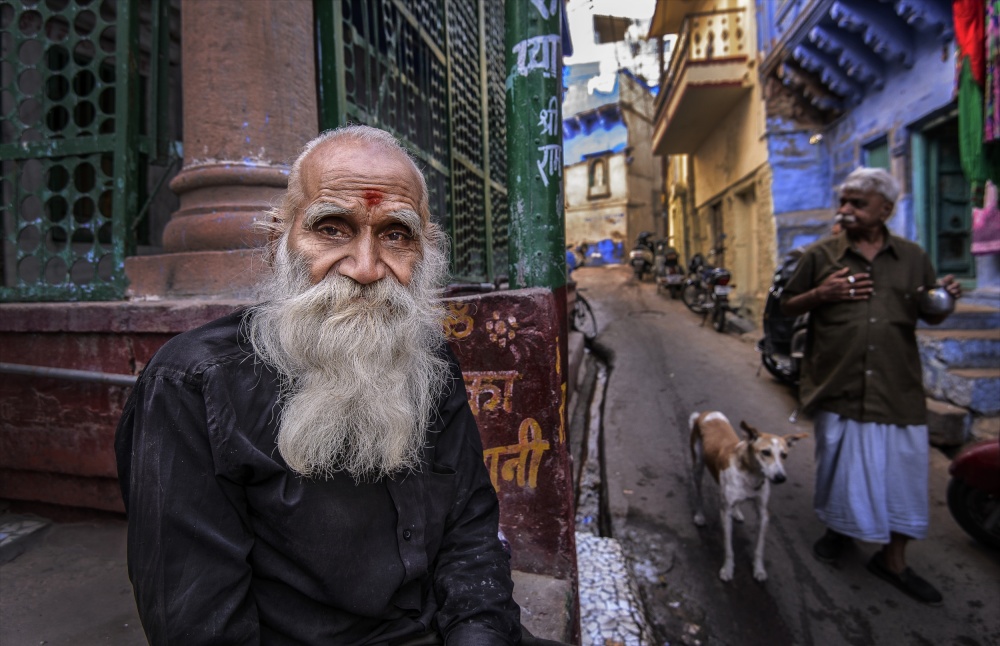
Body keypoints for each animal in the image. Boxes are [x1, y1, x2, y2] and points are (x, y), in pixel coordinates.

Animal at [692, 412, 808, 584]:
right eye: (765, 452)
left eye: (784, 455)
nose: (781, 478)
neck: (750, 474)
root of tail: (706, 413)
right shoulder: (725, 512)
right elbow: (729, 548)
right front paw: (728, 569)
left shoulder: (763, 514)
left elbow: (759, 548)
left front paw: (759, 570)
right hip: (698, 467)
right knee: (698, 492)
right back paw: (699, 515)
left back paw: (738, 512)